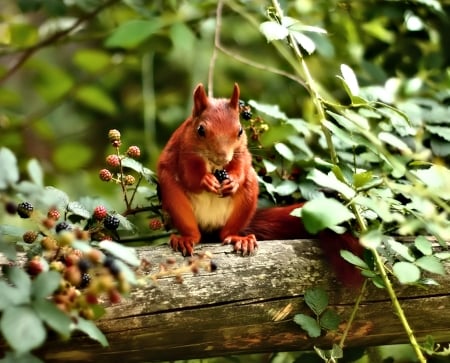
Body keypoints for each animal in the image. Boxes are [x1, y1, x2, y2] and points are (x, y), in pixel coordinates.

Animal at [156, 83, 364, 288]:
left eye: (240, 131)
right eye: (200, 130)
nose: (223, 158)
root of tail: (209, 227)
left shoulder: (241, 151)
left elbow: (242, 164)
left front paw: (233, 181)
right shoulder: (183, 151)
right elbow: (188, 175)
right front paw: (205, 180)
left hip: (247, 197)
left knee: (227, 233)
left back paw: (240, 239)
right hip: (174, 197)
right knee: (194, 233)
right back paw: (186, 239)